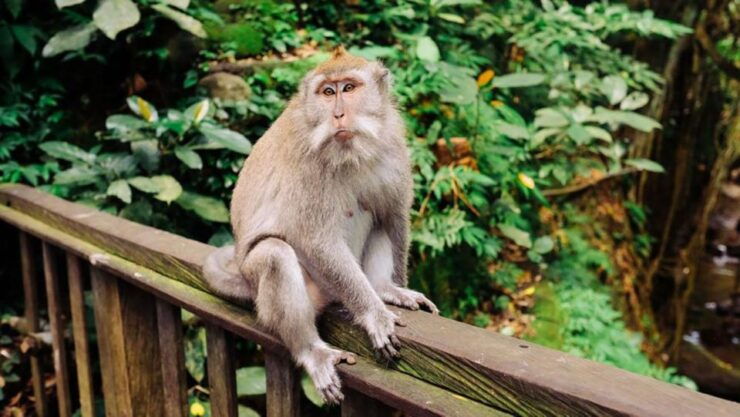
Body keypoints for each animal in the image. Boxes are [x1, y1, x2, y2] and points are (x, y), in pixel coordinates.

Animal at [202, 47, 438, 405]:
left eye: (349, 88)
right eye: (327, 92)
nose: (338, 114)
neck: (351, 151)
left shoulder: (393, 146)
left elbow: (392, 216)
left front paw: (394, 289)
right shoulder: (308, 164)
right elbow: (315, 240)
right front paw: (374, 314)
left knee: (374, 213)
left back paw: (381, 286)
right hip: (278, 282)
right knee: (275, 254)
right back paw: (311, 351)